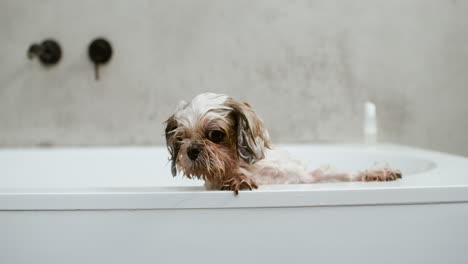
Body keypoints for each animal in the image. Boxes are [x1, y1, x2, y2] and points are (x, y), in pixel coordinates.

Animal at [165, 94, 402, 193]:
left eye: (215, 134)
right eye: (181, 138)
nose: (192, 150)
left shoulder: (306, 179)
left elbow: (342, 175)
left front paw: (378, 172)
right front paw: (236, 180)